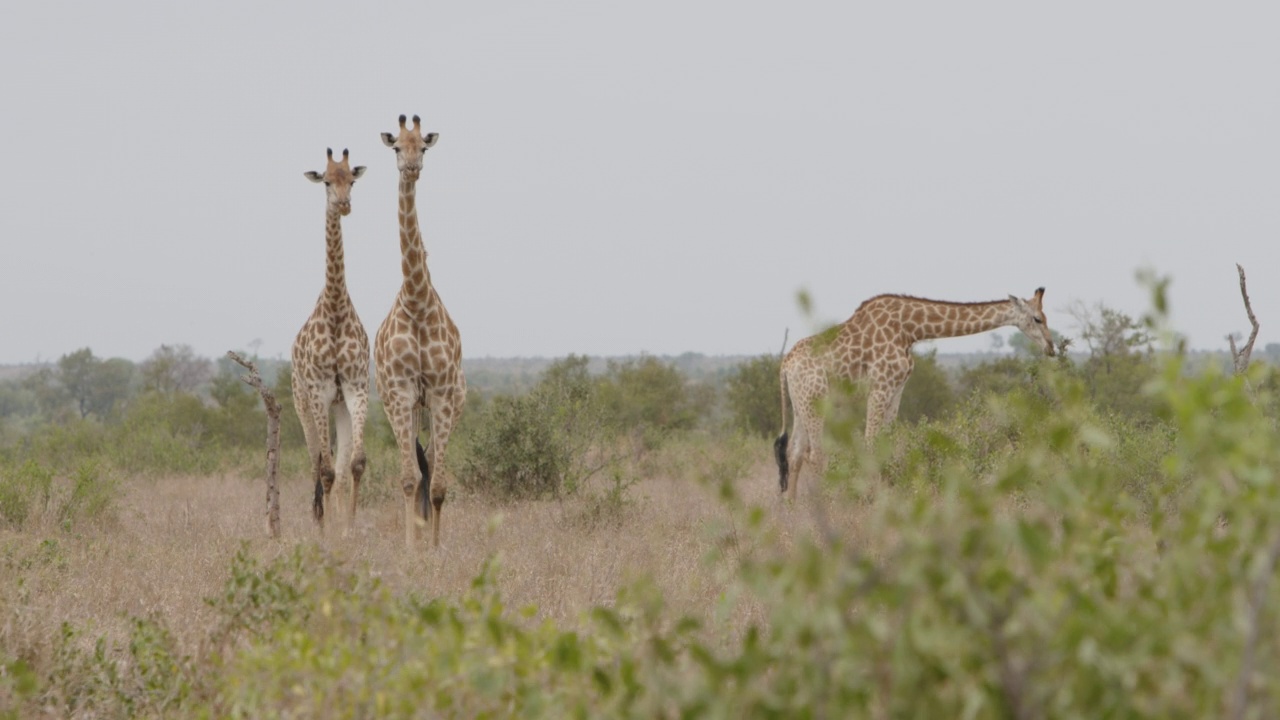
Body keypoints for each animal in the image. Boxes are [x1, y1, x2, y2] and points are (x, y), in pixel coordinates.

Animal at [773, 284, 1054, 491]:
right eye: (1037, 319)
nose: (1051, 348)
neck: (911, 329)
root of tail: (785, 364)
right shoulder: (880, 386)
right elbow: (870, 445)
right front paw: (871, 500)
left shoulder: (897, 388)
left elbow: (886, 445)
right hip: (816, 400)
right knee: (816, 455)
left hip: (801, 402)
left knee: (794, 453)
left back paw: (792, 512)